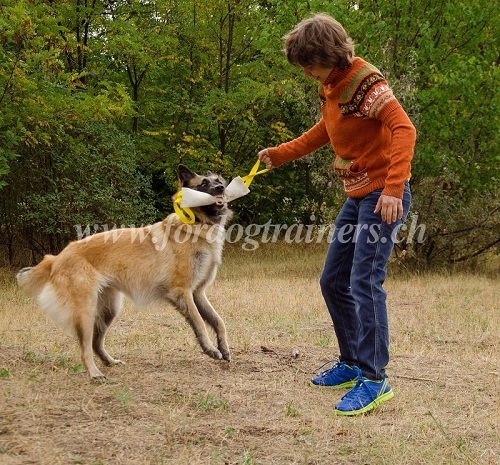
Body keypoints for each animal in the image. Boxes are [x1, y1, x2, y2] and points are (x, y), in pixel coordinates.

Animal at [16, 165, 233, 378]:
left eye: (218, 181)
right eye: (203, 184)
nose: (221, 188)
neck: (195, 225)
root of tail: (56, 257)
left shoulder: (197, 293)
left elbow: (218, 321)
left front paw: (223, 347)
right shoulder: (182, 292)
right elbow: (200, 323)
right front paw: (210, 349)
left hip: (109, 310)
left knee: (95, 343)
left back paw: (109, 362)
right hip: (86, 311)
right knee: (85, 348)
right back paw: (94, 373)